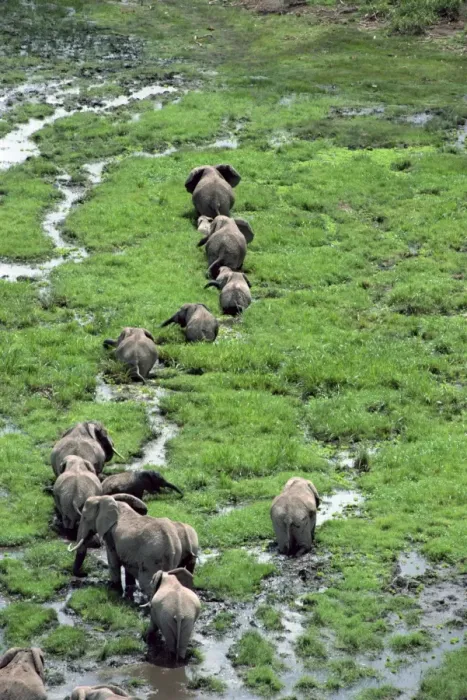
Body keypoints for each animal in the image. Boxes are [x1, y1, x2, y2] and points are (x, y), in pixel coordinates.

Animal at [69, 495, 198, 596]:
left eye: (84, 517)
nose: (84, 573)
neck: (103, 499)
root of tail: (171, 545)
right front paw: (128, 588)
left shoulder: (110, 535)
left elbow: (113, 559)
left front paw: (114, 590)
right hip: (173, 556)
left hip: (152, 559)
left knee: (147, 584)